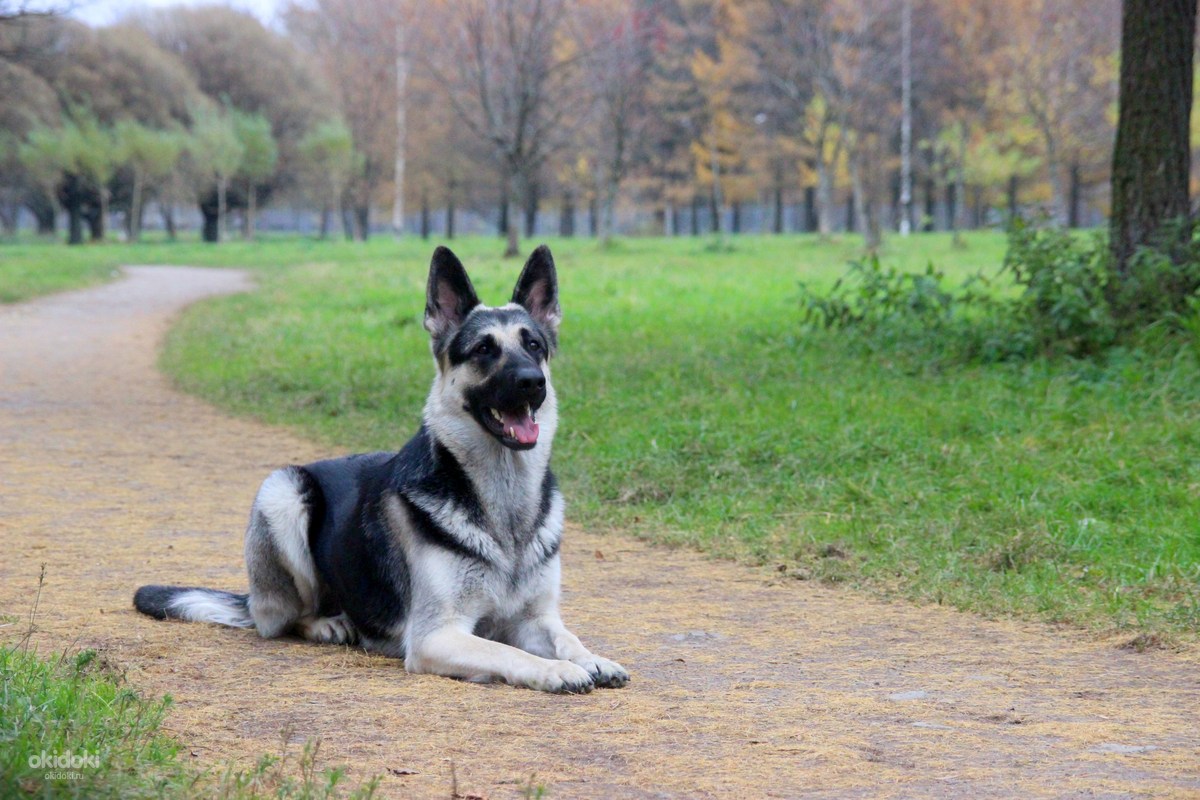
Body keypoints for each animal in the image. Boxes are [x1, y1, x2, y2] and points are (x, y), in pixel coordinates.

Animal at [133, 245, 628, 695]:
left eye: (534, 345)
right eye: (484, 350)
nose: (532, 382)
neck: (503, 508)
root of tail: (253, 598)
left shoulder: (536, 618)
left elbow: (567, 637)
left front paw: (592, 659)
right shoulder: (435, 636)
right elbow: (508, 651)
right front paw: (556, 670)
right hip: (283, 491)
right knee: (283, 619)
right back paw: (328, 623)